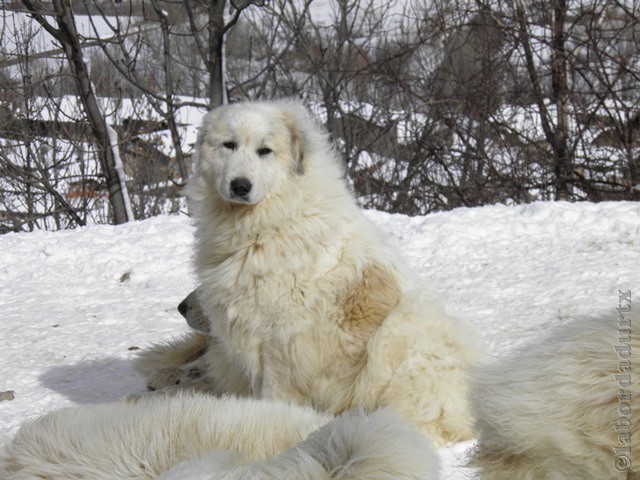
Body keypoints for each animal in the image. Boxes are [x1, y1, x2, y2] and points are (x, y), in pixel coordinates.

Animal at [138, 97, 482, 446]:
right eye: (229, 145)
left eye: (265, 151)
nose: (240, 186)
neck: (268, 222)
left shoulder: (279, 340)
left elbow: (271, 392)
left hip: (406, 326)